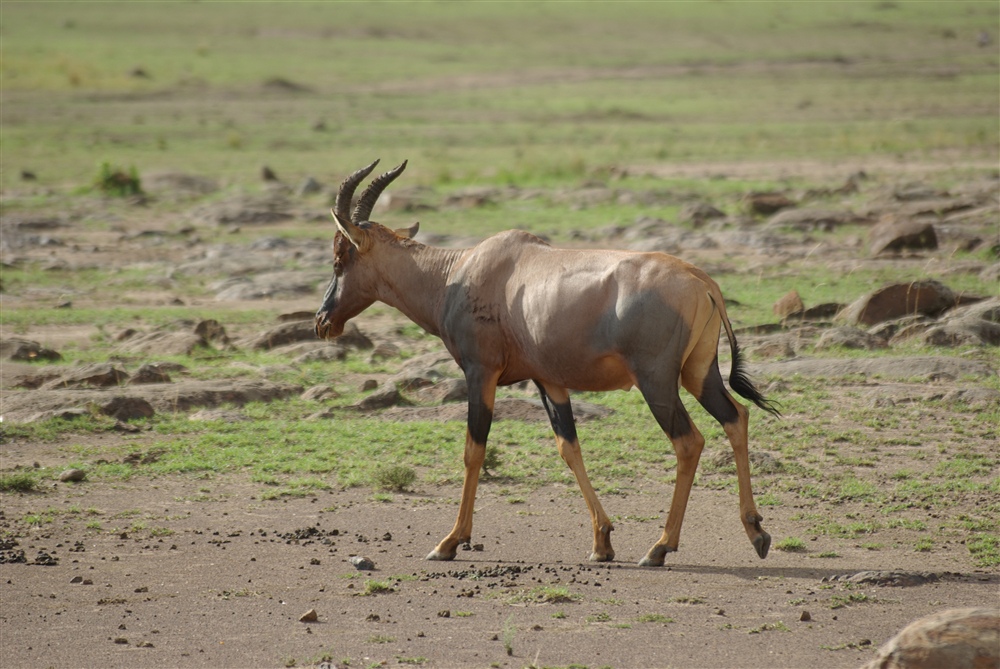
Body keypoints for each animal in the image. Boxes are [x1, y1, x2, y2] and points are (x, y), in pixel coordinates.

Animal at [314, 160, 780, 564]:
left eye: (340, 256)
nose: (322, 321)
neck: (457, 272)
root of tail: (703, 282)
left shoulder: (480, 372)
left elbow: (474, 449)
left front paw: (449, 542)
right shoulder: (548, 381)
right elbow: (568, 448)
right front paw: (601, 543)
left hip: (657, 381)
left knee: (688, 442)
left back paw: (660, 548)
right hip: (699, 372)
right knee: (736, 417)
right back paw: (756, 532)